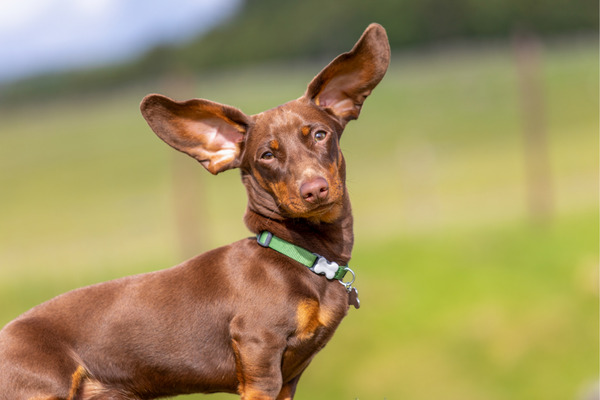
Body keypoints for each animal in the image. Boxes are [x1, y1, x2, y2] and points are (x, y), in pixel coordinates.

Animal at [0, 23, 392, 398]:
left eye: (320, 135)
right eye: (266, 155)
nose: (314, 190)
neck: (299, 255)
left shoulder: (288, 381)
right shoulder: (260, 361)